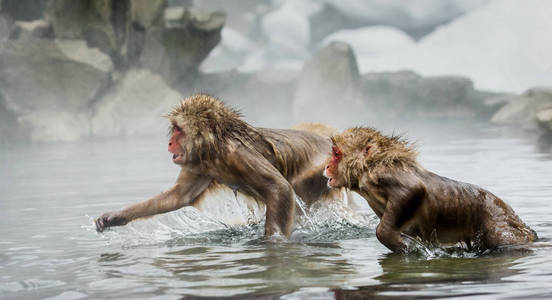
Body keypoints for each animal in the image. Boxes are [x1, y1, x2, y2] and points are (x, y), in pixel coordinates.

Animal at [324, 125, 540, 252]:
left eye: (336, 154)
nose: (326, 166)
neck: (368, 168)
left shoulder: (384, 175)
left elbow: (414, 189)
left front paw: (404, 245)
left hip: (498, 226)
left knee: (504, 241)